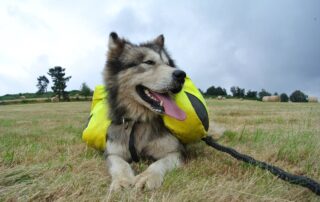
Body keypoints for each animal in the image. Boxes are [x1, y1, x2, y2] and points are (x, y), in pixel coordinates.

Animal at [104, 32, 186, 190]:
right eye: (148, 62)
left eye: (168, 64)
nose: (181, 75)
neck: (140, 122)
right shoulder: (112, 152)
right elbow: (120, 164)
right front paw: (122, 181)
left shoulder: (175, 152)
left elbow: (159, 163)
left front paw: (147, 176)